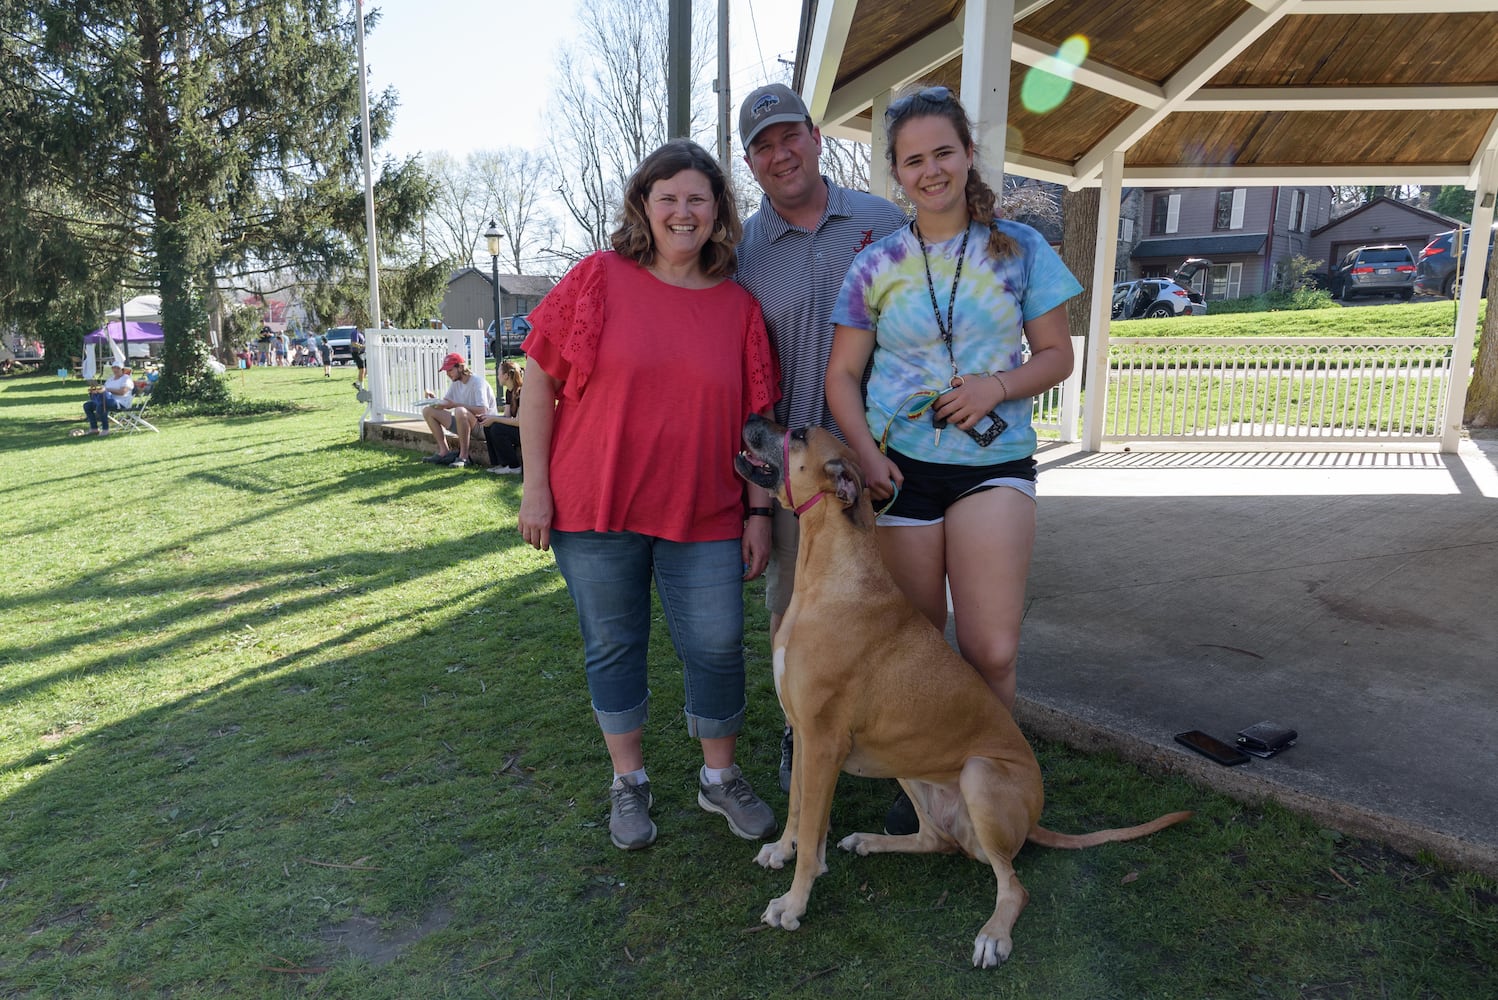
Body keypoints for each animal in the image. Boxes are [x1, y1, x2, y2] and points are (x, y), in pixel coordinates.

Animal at [731, 416, 1186, 970]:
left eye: (797, 434)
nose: (752, 418)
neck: (829, 574)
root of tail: (1032, 822)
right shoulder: (804, 737)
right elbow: (799, 810)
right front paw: (784, 850)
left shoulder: (822, 744)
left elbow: (811, 822)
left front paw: (794, 902)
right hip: (907, 768)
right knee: (938, 840)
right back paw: (873, 841)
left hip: (979, 774)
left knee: (1013, 885)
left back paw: (993, 934)